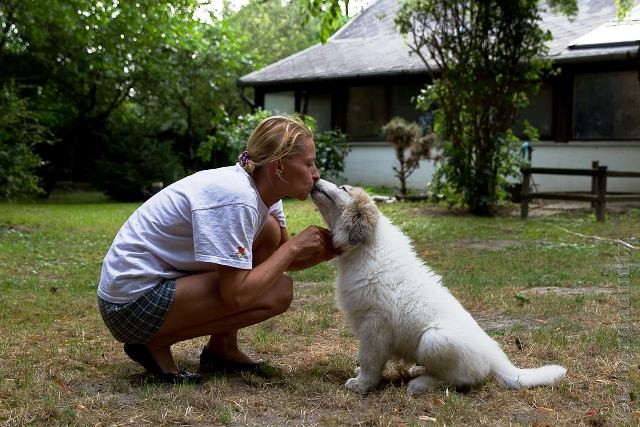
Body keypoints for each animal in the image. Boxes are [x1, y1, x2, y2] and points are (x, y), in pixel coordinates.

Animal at [310, 179, 564, 396]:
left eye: (343, 188)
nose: (314, 180)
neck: (366, 249)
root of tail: (495, 358)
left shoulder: (374, 324)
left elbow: (369, 359)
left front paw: (362, 384)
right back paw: (418, 370)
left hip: (433, 340)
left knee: (457, 380)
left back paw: (420, 383)